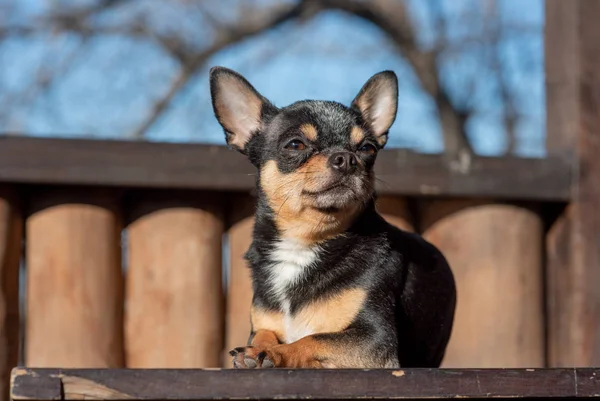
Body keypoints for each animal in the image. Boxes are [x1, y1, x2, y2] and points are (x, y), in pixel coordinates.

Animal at [210, 66, 454, 368]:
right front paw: (258, 349)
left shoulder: (375, 339)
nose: (346, 158)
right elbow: (263, 334)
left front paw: (275, 353)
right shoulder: (262, 324)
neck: (305, 243)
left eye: (367, 148)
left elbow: (313, 338)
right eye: (295, 144)